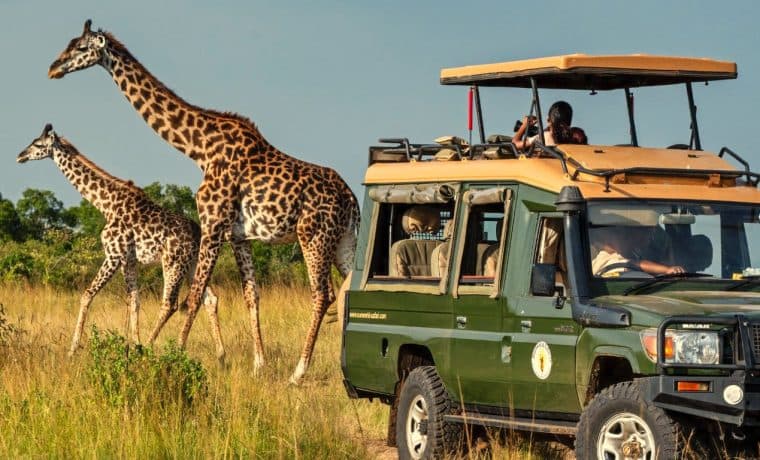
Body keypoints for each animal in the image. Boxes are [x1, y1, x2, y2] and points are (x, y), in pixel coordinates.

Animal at [17, 123, 223, 359]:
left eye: (37, 144)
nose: (20, 156)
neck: (106, 204)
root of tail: (199, 234)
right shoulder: (129, 260)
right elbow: (134, 300)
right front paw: (135, 346)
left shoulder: (114, 255)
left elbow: (87, 295)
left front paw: (72, 349)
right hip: (193, 264)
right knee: (209, 299)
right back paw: (221, 356)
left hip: (174, 263)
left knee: (170, 303)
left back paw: (152, 346)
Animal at [48, 20, 360, 384]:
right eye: (69, 43)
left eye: (81, 48)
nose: (53, 68)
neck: (198, 148)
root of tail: (351, 199)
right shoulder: (238, 235)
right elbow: (250, 294)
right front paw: (259, 365)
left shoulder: (212, 223)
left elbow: (193, 296)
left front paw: (173, 354)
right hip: (344, 241)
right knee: (350, 291)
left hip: (314, 236)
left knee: (323, 294)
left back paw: (299, 372)